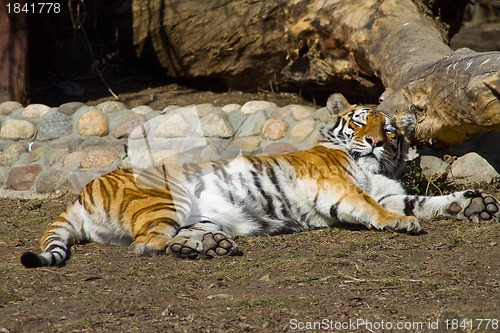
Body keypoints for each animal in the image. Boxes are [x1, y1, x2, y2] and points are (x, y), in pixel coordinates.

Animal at [20, 93, 500, 268]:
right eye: (361, 122)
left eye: (391, 129)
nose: (376, 142)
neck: (377, 169)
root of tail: (83, 191)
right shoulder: (342, 188)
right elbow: (374, 209)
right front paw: (402, 224)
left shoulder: (392, 191)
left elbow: (427, 201)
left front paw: (476, 204)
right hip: (167, 198)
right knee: (144, 245)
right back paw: (202, 250)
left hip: (198, 216)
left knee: (170, 239)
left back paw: (211, 247)